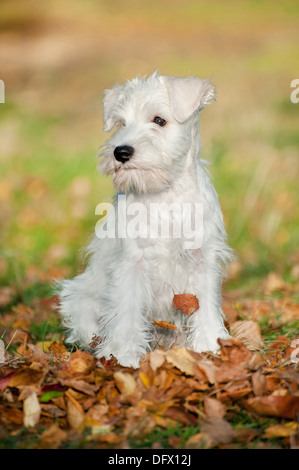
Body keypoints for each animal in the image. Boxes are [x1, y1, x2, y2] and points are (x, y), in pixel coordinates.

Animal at [58, 71, 232, 370]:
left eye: (159, 120)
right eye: (121, 123)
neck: (165, 194)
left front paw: (210, 346)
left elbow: (207, 307)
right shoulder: (132, 264)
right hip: (81, 300)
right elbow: (127, 313)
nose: (121, 152)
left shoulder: (202, 260)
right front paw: (123, 357)